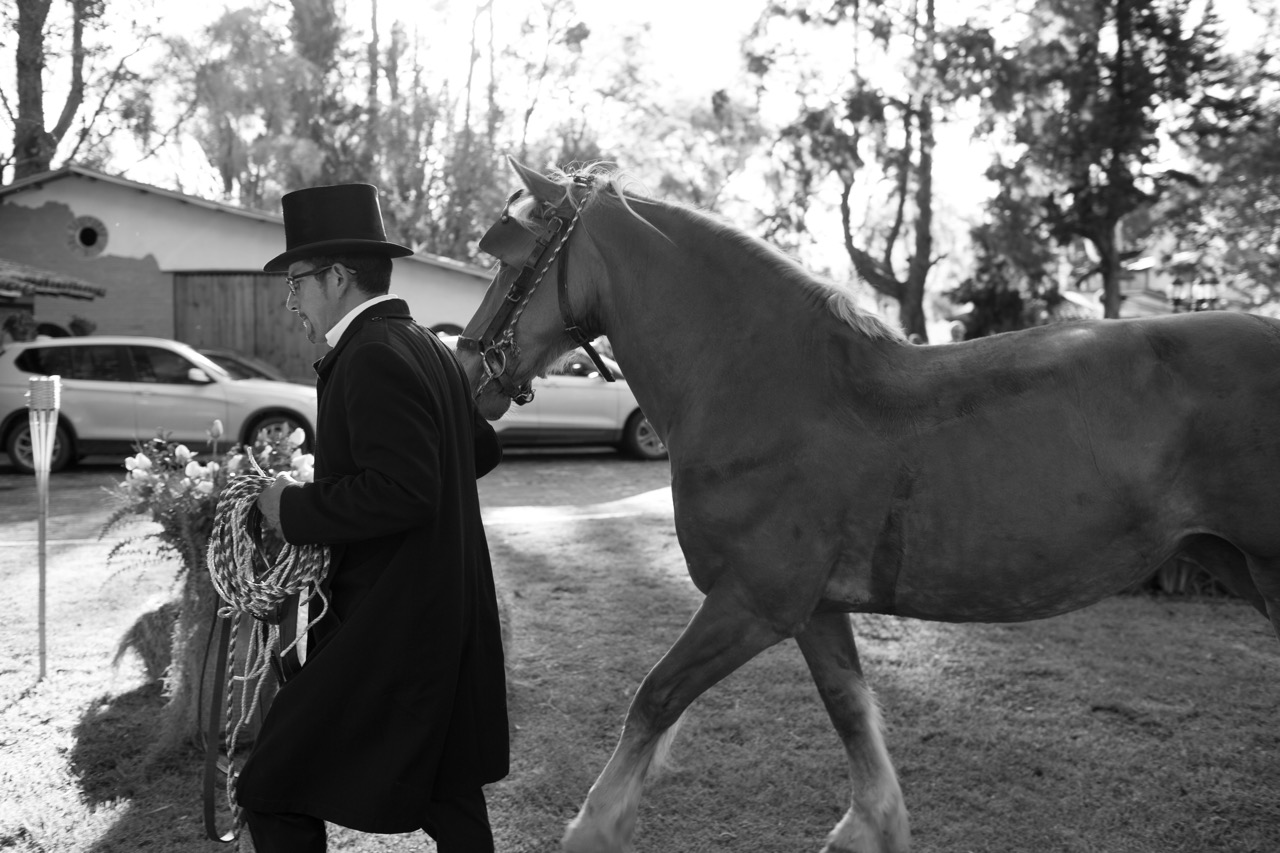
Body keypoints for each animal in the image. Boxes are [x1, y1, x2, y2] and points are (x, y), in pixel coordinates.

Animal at [453, 156, 1280, 845]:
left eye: (511, 255)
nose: (467, 366)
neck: (773, 388)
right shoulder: (816, 608)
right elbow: (850, 708)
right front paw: (872, 826)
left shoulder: (753, 601)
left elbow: (653, 697)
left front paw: (595, 825)